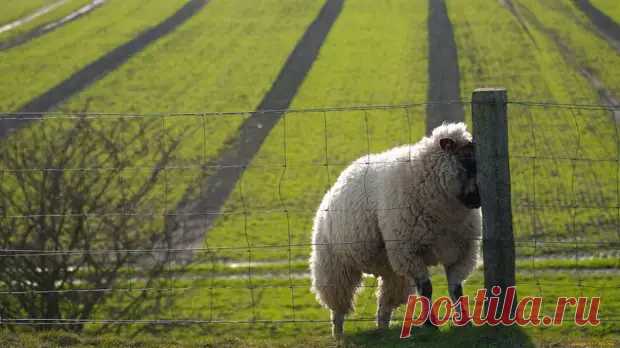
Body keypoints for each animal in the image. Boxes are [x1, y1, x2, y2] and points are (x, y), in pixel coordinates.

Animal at [308, 122, 480, 338]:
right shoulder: (410, 252)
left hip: (391, 268)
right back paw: (338, 334)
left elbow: (456, 289)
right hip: (334, 265)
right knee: (337, 304)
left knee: (385, 303)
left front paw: (464, 323)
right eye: (465, 161)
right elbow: (426, 289)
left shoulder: (461, 253)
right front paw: (431, 325)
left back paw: (383, 329)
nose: (478, 200)